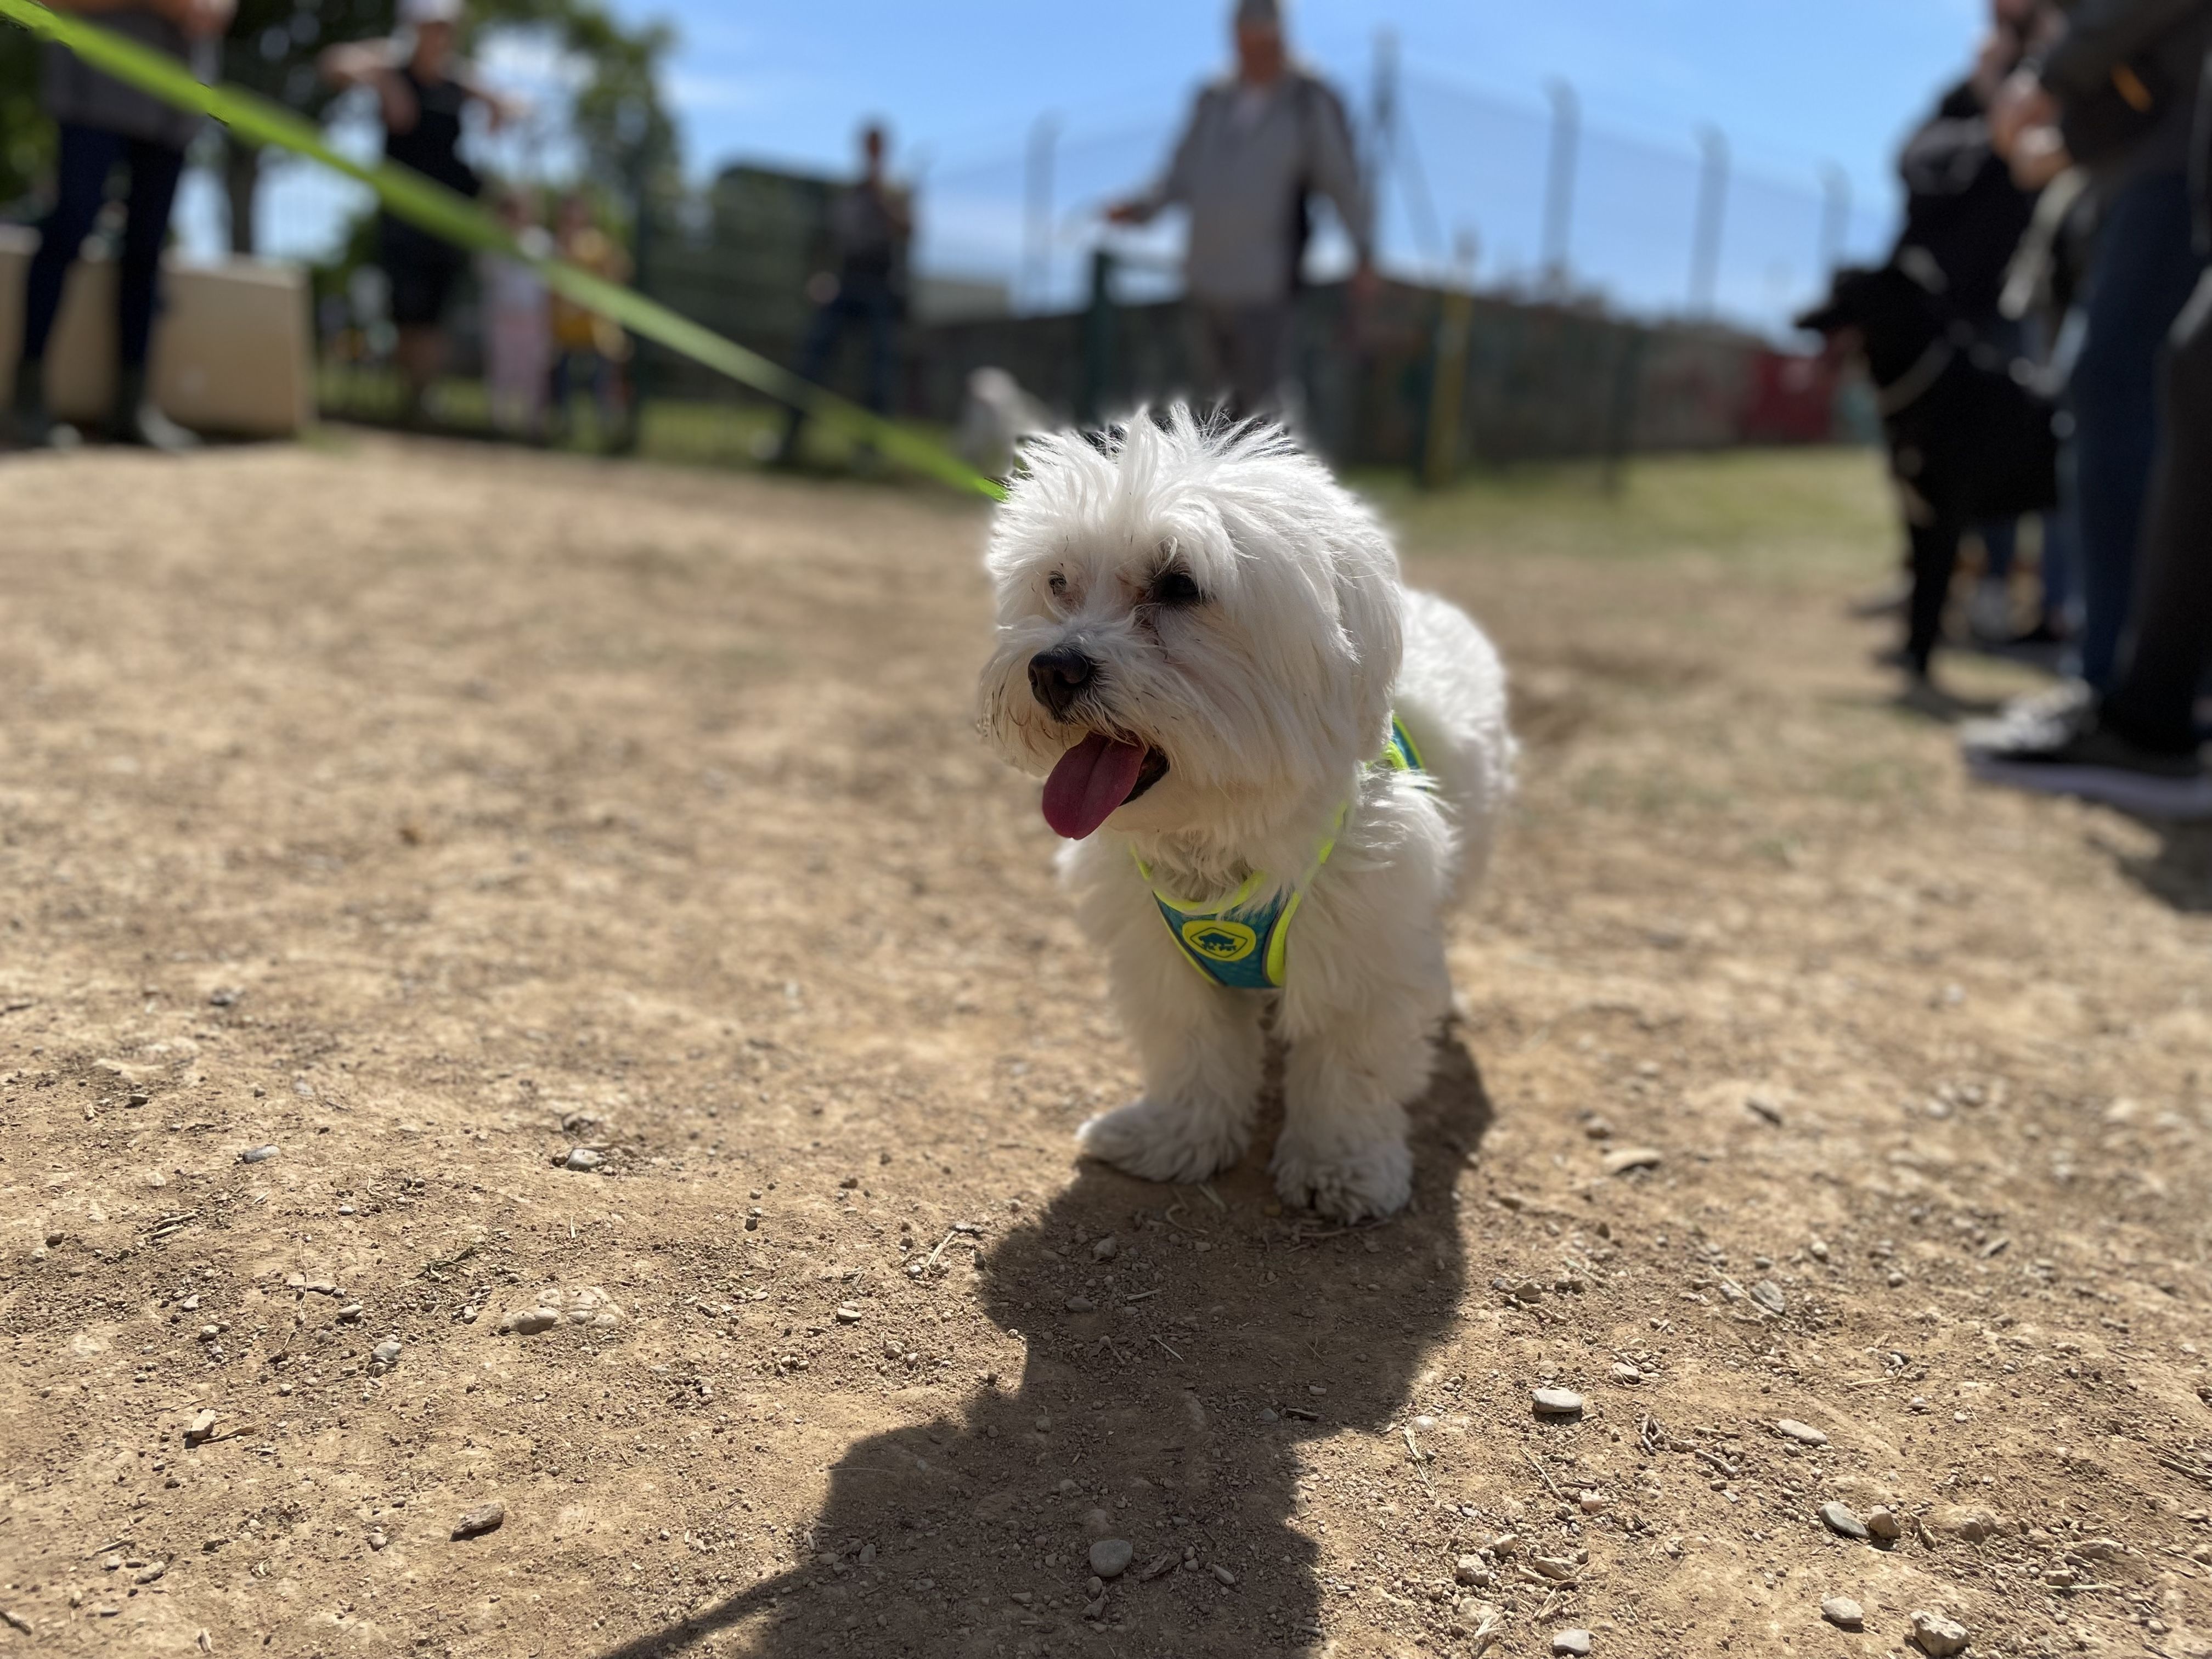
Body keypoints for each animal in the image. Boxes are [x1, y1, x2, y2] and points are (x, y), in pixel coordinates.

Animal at [978, 413, 1513, 1221]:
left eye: (1179, 585)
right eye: (1057, 583)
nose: (1051, 669)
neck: (1222, 837)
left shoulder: (1362, 950)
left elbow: (1348, 1069)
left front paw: (1341, 1168)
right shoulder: (1160, 957)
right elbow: (1194, 1050)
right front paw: (1174, 1137)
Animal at [1796, 259, 2052, 676]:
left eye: (1851, 293)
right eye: (1831, 288)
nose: (1796, 320)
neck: (1936, 393)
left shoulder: (1948, 520)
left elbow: (1932, 593)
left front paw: (1919, 664)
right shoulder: (1915, 515)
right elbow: (1918, 594)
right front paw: (1908, 651)